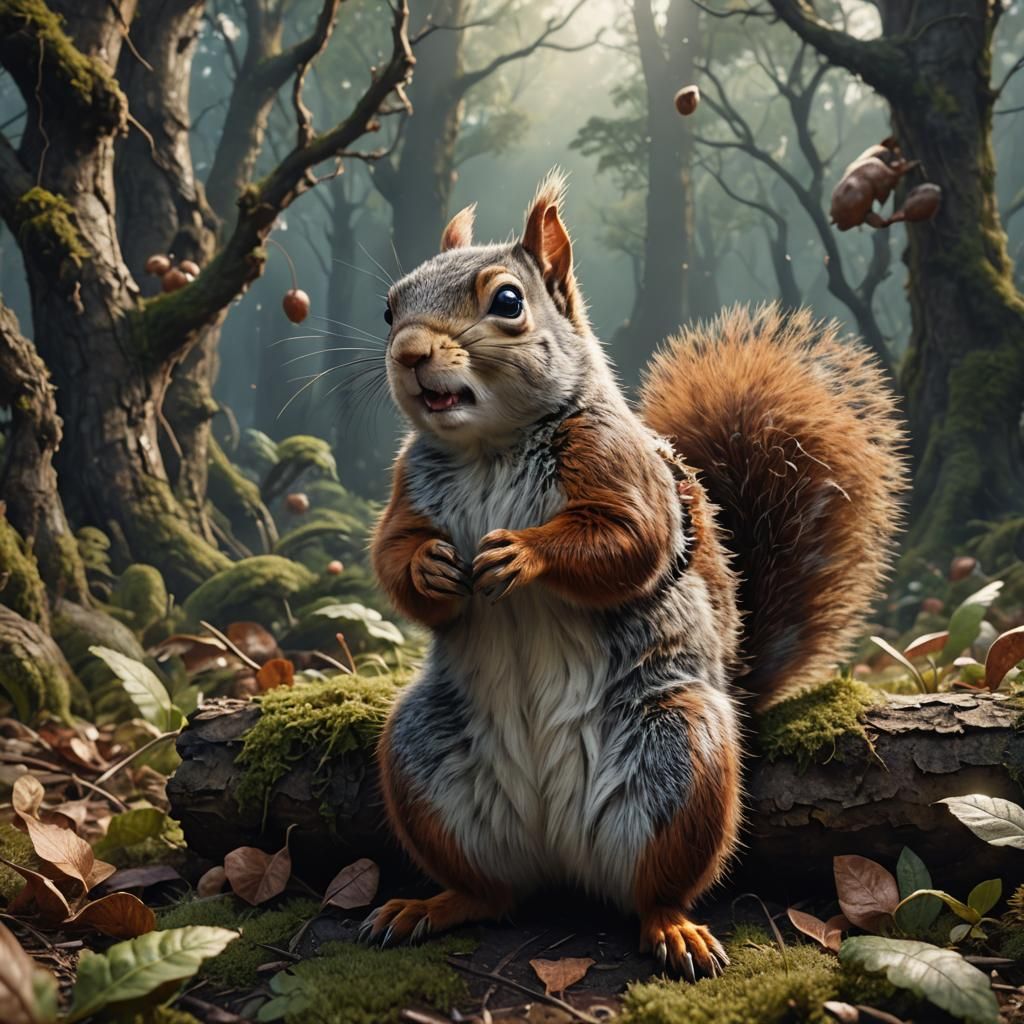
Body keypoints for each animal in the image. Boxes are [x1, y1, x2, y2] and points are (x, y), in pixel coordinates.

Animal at [363, 171, 904, 978]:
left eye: (508, 302)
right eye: (391, 305)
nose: (408, 353)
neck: (489, 448)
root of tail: (556, 849)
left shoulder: (619, 472)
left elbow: (628, 542)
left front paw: (523, 554)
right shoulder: (406, 490)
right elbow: (393, 554)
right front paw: (430, 566)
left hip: (682, 756)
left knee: (655, 889)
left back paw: (674, 928)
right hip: (421, 760)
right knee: (491, 892)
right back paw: (433, 905)